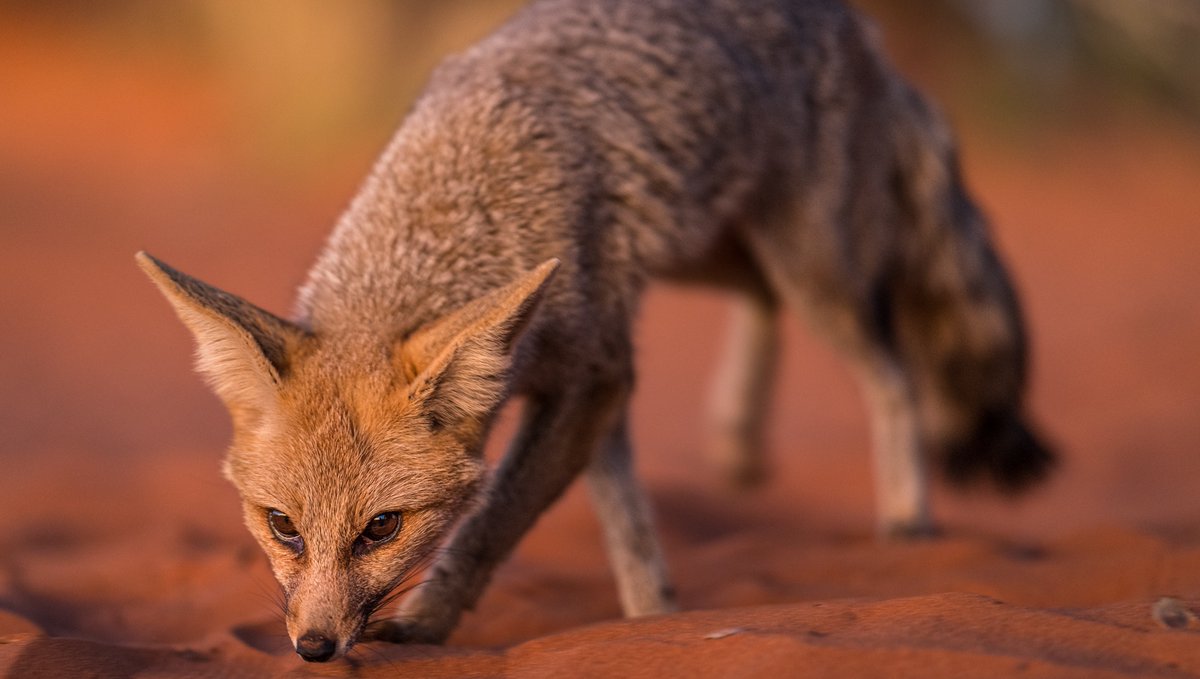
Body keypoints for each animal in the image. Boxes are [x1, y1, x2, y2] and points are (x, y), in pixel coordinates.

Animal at [137, 0, 1053, 663]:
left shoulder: (594, 374)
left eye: (382, 528)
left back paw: (906, 515)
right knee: (765, 302)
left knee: (890, 365)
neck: (473, 193)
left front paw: (429, 622)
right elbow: (625, 514)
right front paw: (653, 616)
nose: (315, 648)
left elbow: (496, 521)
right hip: (708, 250)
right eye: (282, 525)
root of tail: (864, 31)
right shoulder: (594, 375)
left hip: (809, 267)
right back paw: (739, 436)